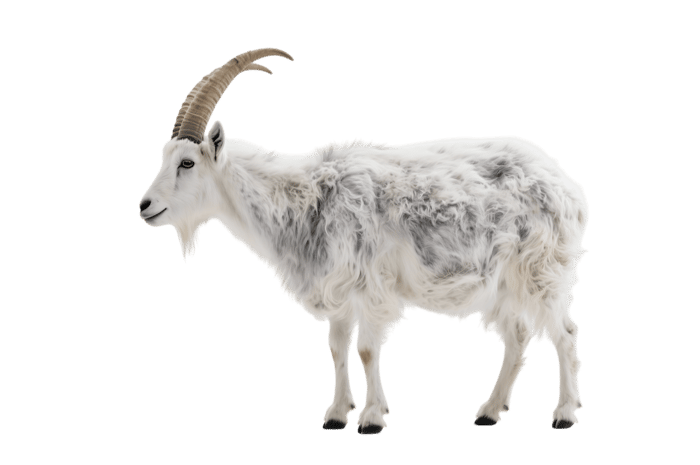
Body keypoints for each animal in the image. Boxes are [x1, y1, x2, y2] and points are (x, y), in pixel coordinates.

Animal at [138, 48, 589, 435]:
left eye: (187, 162)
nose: (145, 206)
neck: (305, 199)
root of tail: (570, 188)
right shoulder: (338, 287)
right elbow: (337, 348)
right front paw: (337, 414)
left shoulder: (372, 286)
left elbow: (367, 350)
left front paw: (372, 418)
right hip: (505, 282)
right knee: (518, 335)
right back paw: (490, 411)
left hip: (543, 270)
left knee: (565, 332)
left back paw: (564, 414)